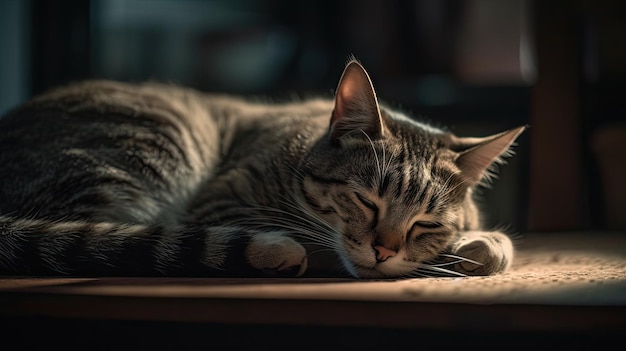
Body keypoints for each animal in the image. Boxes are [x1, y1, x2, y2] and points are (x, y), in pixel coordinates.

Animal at [0, 59, 520, 280]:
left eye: (425, 223)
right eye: (364, 200)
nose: (384, 251)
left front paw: (478, 243)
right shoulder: (220, 203)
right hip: (153, 141)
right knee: (107, 240)